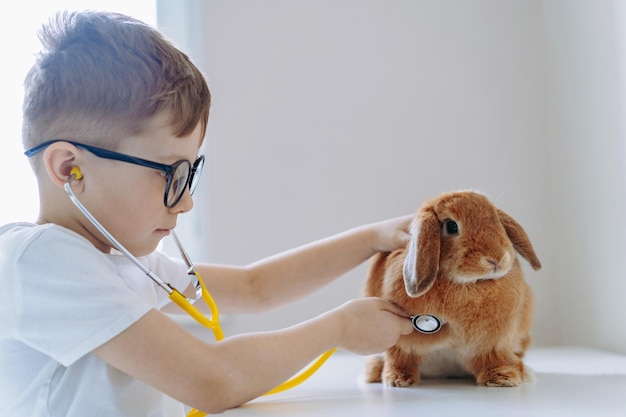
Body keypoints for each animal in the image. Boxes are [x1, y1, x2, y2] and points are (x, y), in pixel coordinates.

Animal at [364, 190, 540, 388]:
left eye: (497, 221)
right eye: (451, 226)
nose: (497, 259)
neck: (468, 285)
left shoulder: (494, 343)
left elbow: (493, 359)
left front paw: (503, 378)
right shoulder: (401, 344)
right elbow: (400, 359)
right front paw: (397, 379)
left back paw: (522, 371)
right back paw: (374, 372)